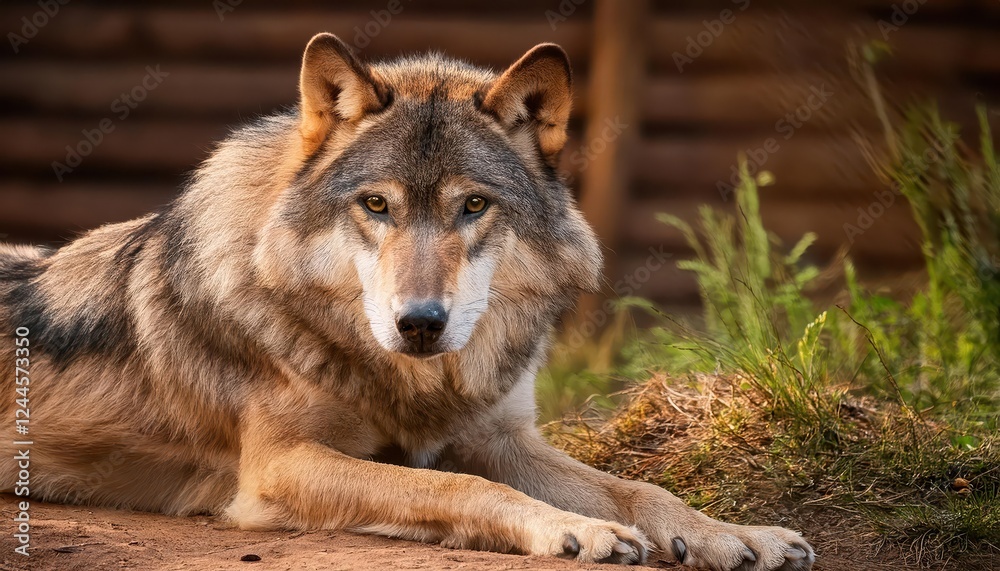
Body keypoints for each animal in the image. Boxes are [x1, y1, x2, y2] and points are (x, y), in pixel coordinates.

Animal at [0, 34, 814, 570]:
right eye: (376, 205)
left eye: (474, 205)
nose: (419, 322)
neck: (415, 383)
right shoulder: (281, 468)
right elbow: (452, 485)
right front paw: (571, 530)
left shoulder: (503, 438)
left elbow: (632, 485)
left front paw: (734, 533)